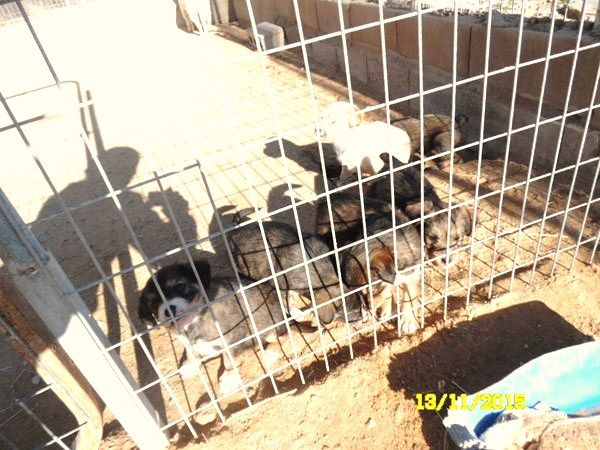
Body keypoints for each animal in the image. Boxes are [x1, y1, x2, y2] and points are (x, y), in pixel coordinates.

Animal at [138, 260, 286, 395]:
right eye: (153, 304)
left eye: (180, 286)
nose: (168, 310)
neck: (195, 322)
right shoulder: (186, 341)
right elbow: (190, 353)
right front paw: (191, 366)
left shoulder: (233, 340)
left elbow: (229, 362)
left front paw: (229, 381)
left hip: (271, 327)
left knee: (282, 336)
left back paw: (270, 353)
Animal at [227, 218, 364, 325]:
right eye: (352, 315)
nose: (365, 319)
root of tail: (232, 234)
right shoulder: (281, 285)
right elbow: (288, 302)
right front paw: (298, 314)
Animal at [315, 193, 422, 333]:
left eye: (371, 290)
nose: (366, 312)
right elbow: (386, 289)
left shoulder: (413, 270)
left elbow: (409, 293)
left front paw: (408, 320)